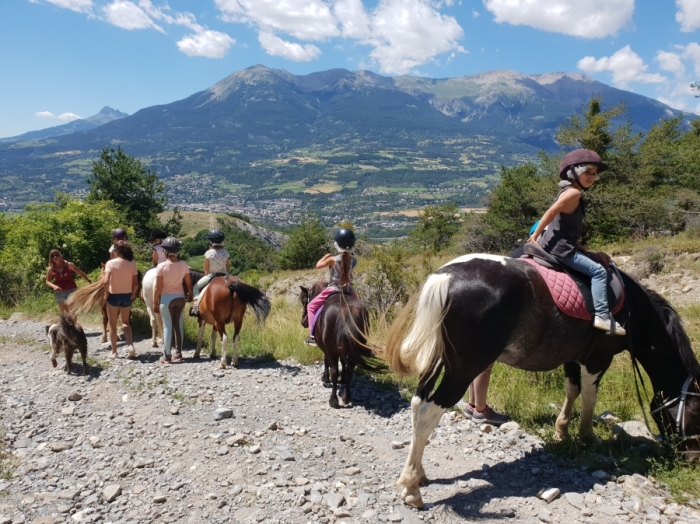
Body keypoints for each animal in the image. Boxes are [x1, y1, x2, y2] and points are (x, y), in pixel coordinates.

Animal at [298, 282, 380, 410]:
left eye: (304, 301)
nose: (303, 322)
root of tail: (346, 308)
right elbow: (343, 362)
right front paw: (342, 380)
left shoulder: (327, 349)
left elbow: (326, 361)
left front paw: (325, 378)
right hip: (353, 351)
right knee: (350, 371)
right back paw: (346, 397)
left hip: (333, 351)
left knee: (334, 371)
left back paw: (333, 401)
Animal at [386, 254, 700, 508]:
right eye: (696, 414)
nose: (693, 458)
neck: (633, 310)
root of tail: (446, 276)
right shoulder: (598, 359)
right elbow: (590, 396)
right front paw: (587, 436)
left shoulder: (573, 356)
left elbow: (572, 390)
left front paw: (562, 430)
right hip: (463, 369)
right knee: (429, 411)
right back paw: (411, 488)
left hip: (439, 361)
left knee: (417, 403)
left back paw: (419, 473)